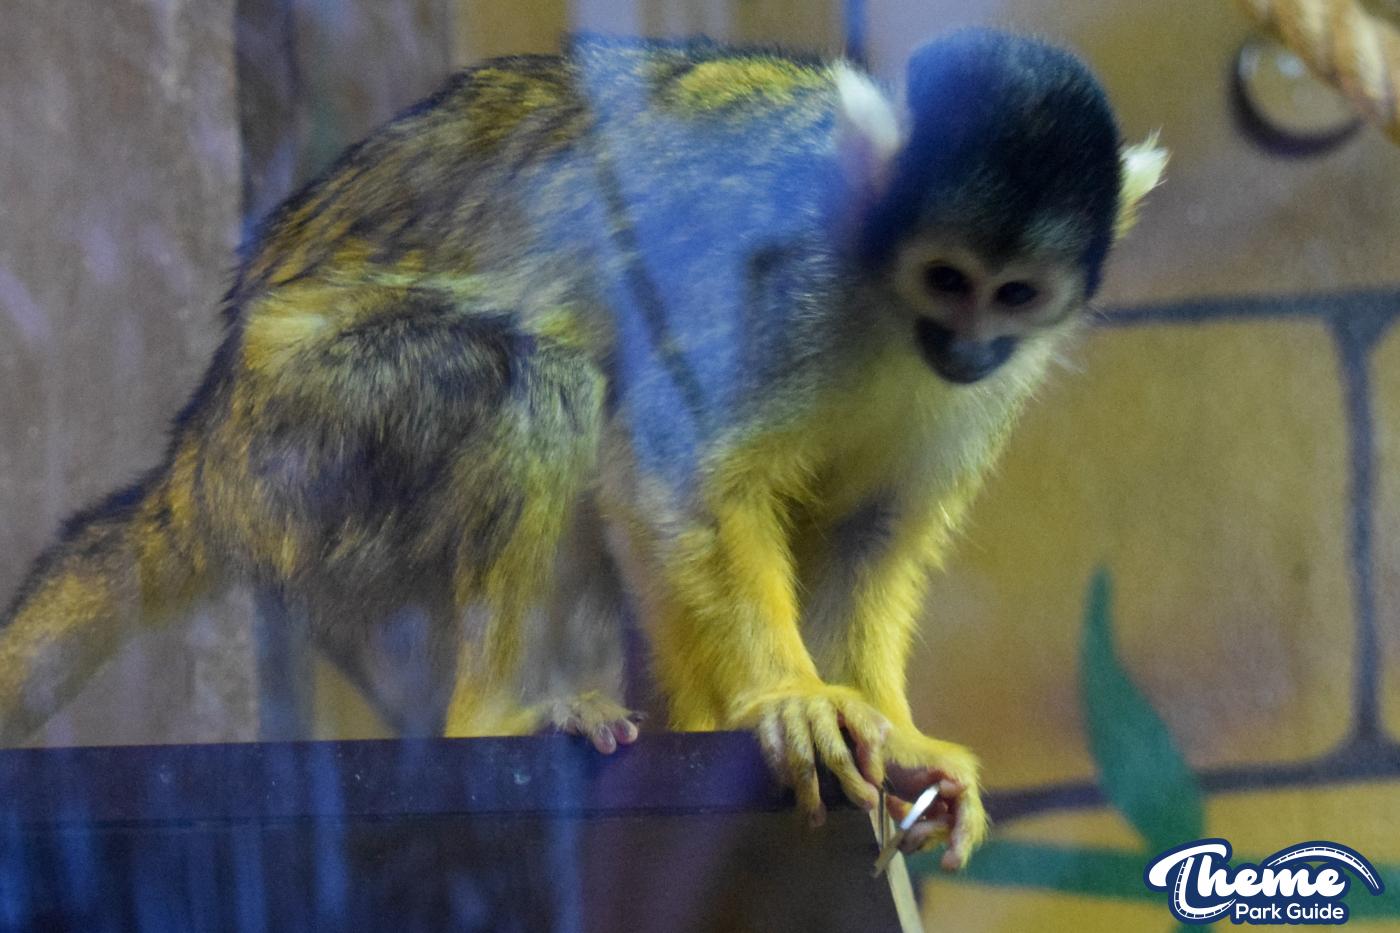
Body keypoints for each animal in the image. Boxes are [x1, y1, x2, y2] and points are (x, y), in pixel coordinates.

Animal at [0, 28, 1165, 870]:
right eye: (946, 277)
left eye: (1014, 295)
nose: (968, 345)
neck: (884, 300)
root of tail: (199, 453)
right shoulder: (789, 283)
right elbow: (664, 470)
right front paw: (789, 700)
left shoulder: (991, 387)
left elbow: (873, 533)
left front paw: (894, 731)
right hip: (306, 436)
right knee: (541, 384)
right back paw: (492, 719)